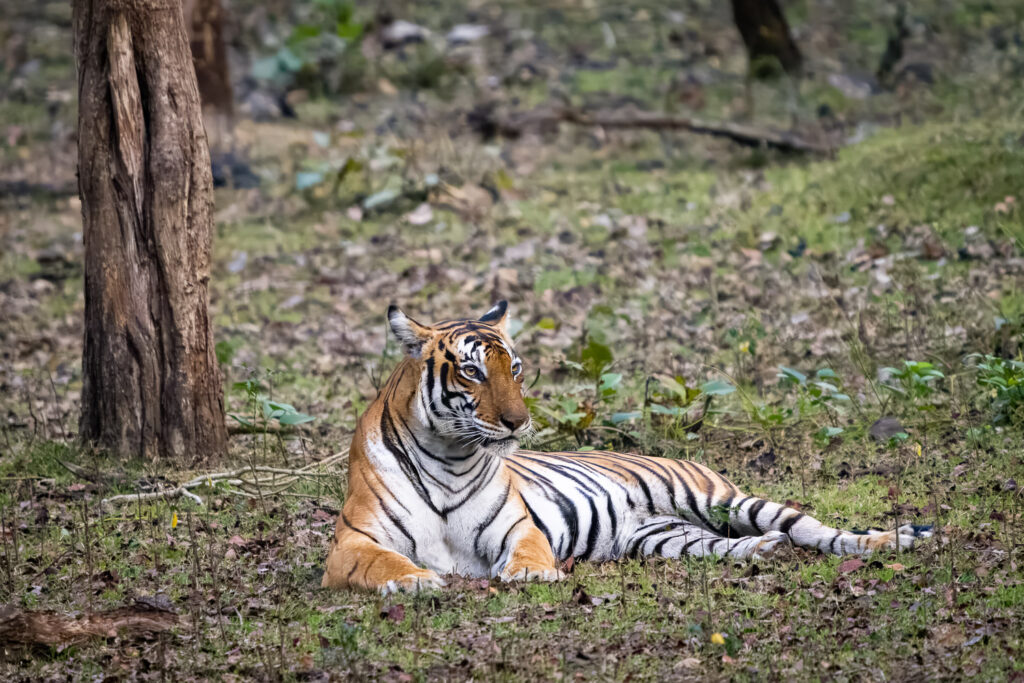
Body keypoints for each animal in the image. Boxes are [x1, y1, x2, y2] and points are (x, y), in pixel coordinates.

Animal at [322, 302, 932, 594]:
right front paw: (415, 578)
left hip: (725, 499)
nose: (519, 421)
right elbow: (382, 562)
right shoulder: (351, 545)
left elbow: (528, 551)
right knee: (730, 544)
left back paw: (892, 540)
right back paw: (761, 551)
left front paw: (532, 575)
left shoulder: (519, 527)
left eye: (514, 369)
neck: (450, 456)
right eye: (471, 372)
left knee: (816, 530)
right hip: (664, 537)